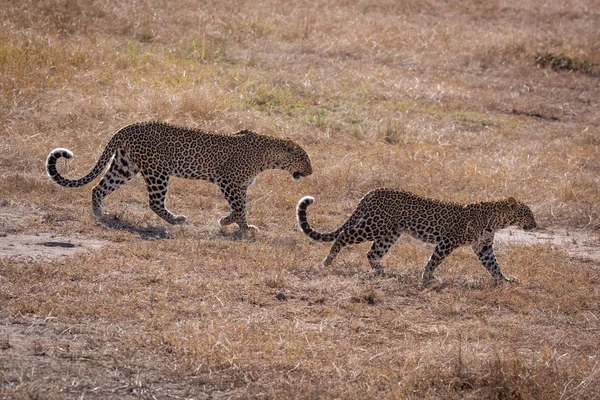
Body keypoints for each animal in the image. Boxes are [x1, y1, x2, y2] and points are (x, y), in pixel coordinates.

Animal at [47, 120, 312, 233]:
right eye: (305, 158)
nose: (310, 171)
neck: (267, 156)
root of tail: (129, 126)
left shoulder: (241, 187)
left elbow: (243, 208)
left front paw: (245, 227)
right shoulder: (229, 182)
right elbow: (238, 208)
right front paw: (225, 222)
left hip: (124, 166)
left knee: (98, 188)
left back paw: (100, 215)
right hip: (157, 171)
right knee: (154, 202)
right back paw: (177, 220)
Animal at [298, 188, 536, 284]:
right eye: (527, 214)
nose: (535, 225)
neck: (497, 221)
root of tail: (373, 191)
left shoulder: (483, 247)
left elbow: (494, 265)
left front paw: (505, 280)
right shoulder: (448, 240)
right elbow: (435, 260)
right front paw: (428, 277)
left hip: (389, 233)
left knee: (372, 253)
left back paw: (381, 271)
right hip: (373, 226)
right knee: (343, 236)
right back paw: (328, 261)